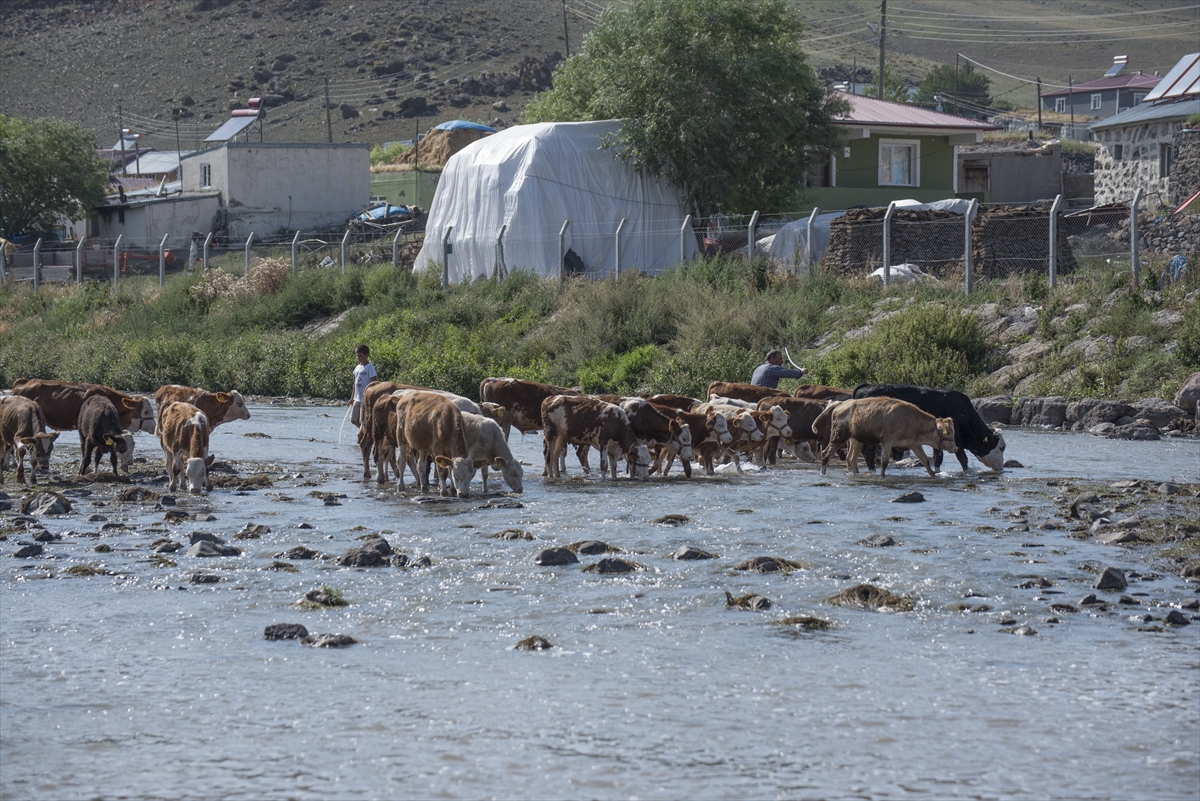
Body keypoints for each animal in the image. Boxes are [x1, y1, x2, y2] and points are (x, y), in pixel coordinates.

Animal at [811, 398, 960, 479]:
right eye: (948, 432)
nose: (955, 448)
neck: (911, 420)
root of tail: (842, 403)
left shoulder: (914, 444)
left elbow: (925, 461)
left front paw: (932, 476)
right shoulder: (887, 441)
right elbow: (884, 462)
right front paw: (882, 476)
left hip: (856, 440)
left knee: (851, 459)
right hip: (838, 436)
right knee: (826, 454)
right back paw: (823, 474)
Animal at [849, 383, 1008, 472]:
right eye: (1001, 447)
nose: (1001, 468)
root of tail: (866, 386)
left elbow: (938, 458)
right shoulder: (956, 438)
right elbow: (962, 458)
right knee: (868, 451)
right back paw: (872, 471)